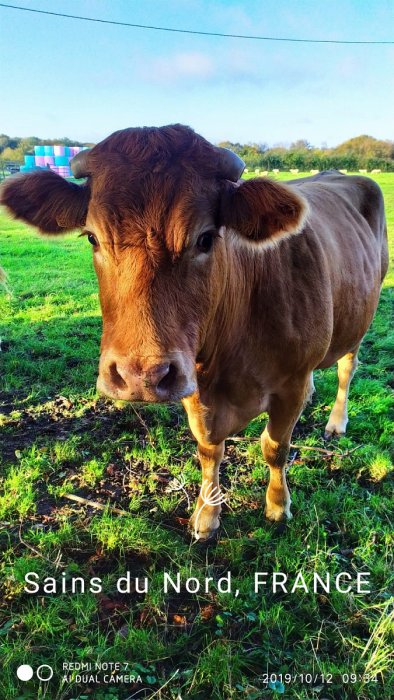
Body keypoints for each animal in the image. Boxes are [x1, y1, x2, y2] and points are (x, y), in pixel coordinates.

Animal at [0, 126, 388, 540]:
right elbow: (208, 449)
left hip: (362, 316)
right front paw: (206, 513)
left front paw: (277, 505)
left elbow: (275, 446)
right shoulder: (194, 385)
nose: (139, 377)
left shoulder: (290, 383)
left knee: (347, 369)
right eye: (91, 237)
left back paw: (336, 422)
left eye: (205, 238)